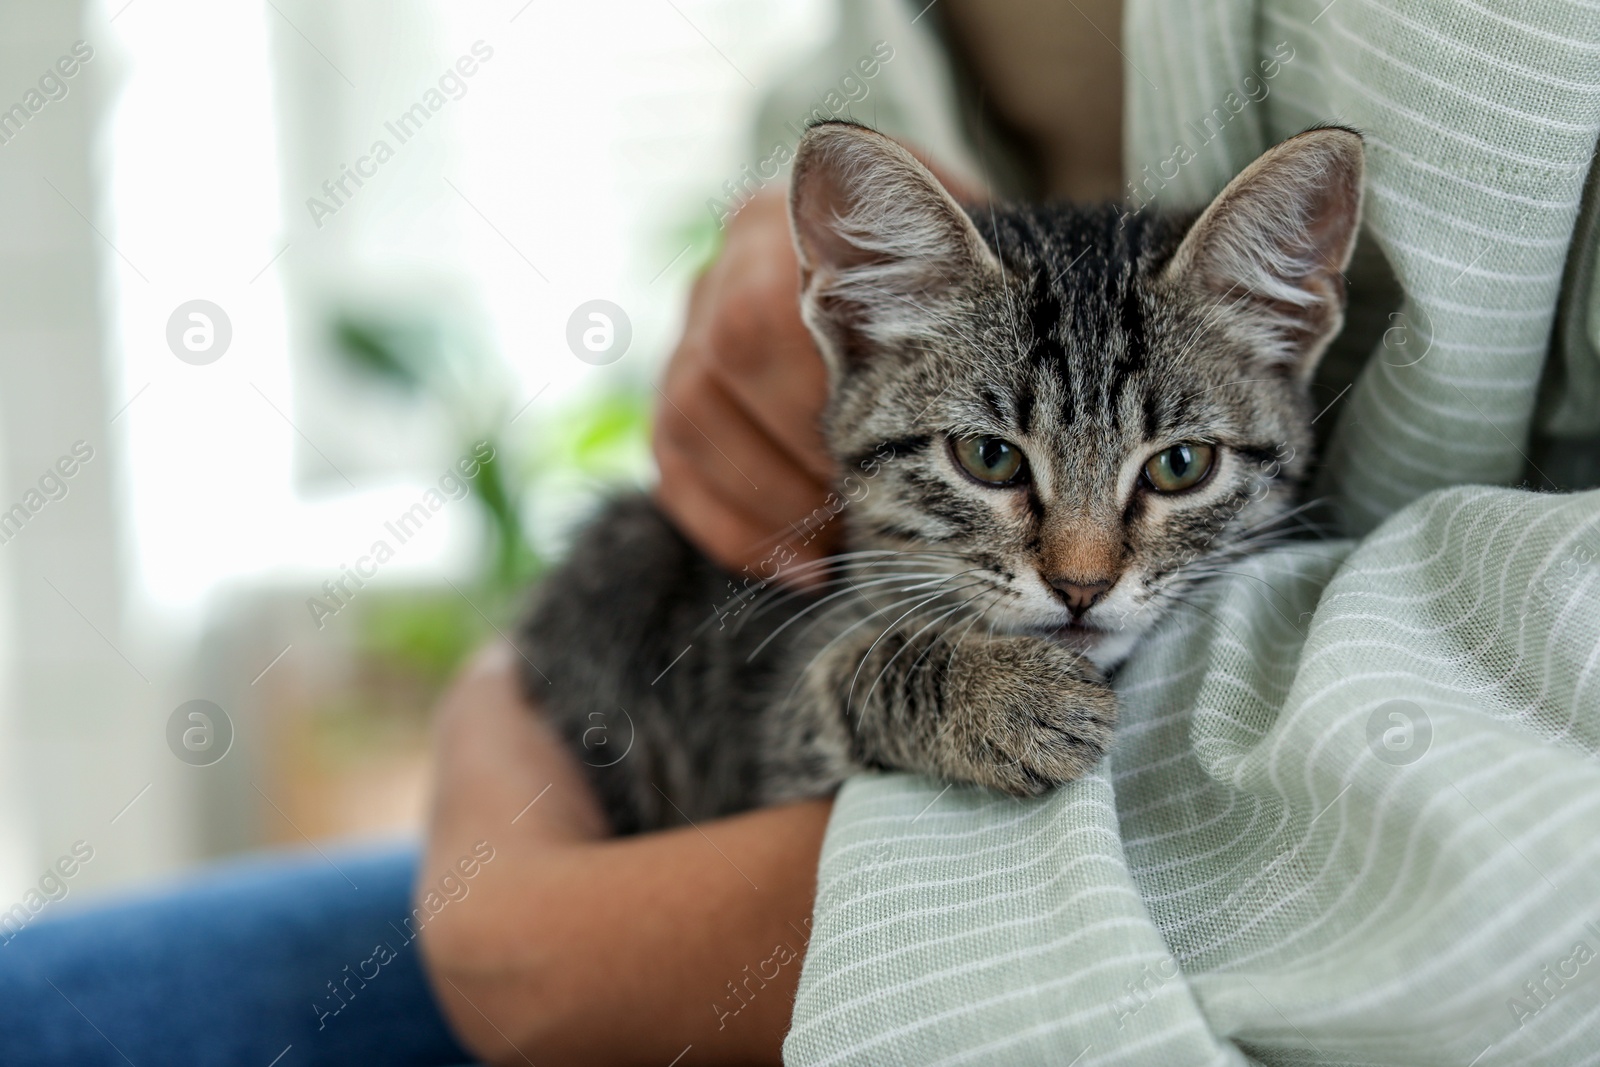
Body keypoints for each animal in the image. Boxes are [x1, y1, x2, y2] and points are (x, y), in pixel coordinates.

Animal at [521, 120, 1363, 831]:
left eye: (1180, 465)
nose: (1082, 586)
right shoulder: (775, 739)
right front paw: (1002, 697)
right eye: (989, 458)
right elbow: (846, 670)